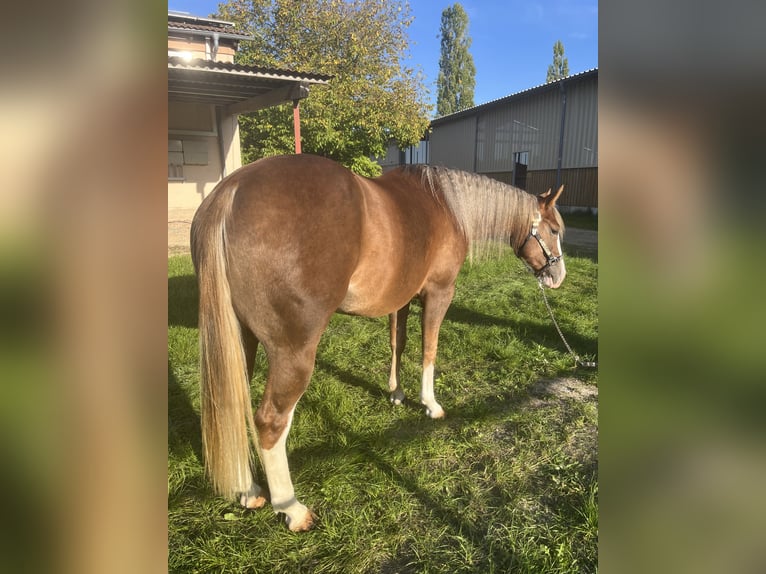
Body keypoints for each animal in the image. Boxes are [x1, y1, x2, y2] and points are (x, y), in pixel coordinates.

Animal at [190, 153, 566, 531]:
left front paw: (396, 393)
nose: (558, 276)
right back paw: (291, 508)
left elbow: (397, 343)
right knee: (270, 421)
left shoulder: (402, 297)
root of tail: (231, 190)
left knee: (231, 405)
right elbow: (429, 348)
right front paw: (430, 404)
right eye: (554, 230)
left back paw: (248, 491)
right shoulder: (439, 292)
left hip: (240, 341)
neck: (446, 205)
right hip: (293, 352)